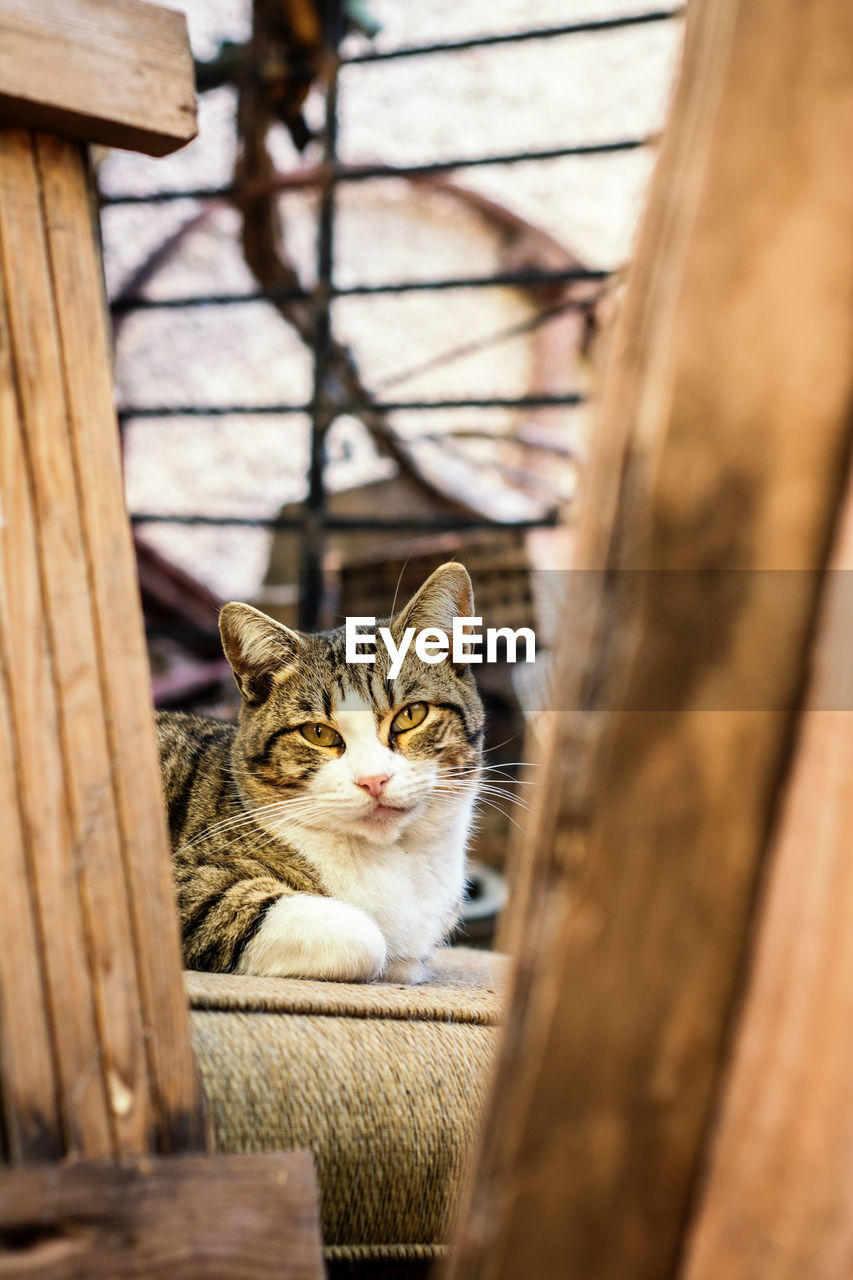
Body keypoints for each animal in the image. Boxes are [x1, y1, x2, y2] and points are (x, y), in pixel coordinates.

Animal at [155, 560, 481, 977]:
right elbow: (365, 939)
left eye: (411, 715)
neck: (396, 857)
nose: (373, 780)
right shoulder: (184, 882)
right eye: (318, 733)